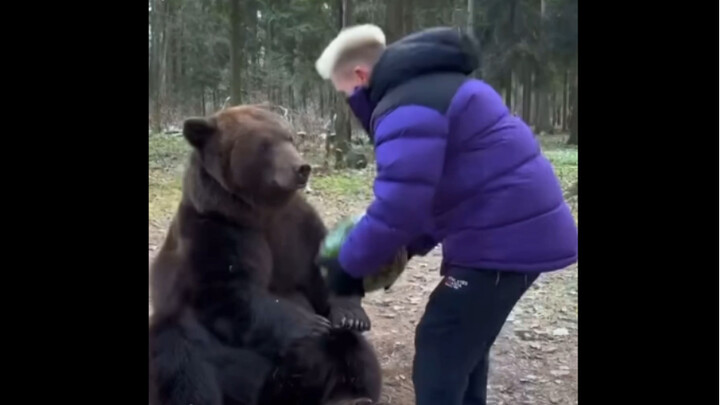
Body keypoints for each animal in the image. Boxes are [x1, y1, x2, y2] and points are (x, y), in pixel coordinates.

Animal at [149, 104, 382, 405]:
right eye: (265, 144)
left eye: (290, 137)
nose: (302, 168)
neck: (259, 211)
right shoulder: (217, 230)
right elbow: (231, 292)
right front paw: (312, 324)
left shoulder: (296, 226)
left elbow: (322, 274)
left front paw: (350, 314)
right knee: (180, 355)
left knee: (352, 349)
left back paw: (351, 394)